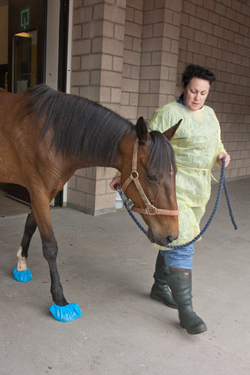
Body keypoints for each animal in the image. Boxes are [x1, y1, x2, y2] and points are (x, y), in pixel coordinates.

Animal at [0, 85, 180, 324]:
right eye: (151, 176)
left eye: (175, 173)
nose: (171, 236)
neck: (49, 134)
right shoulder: (37, 191)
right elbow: (50, 246)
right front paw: (60, 300)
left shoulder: (46, 192)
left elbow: (30, 225)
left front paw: (21, 264)